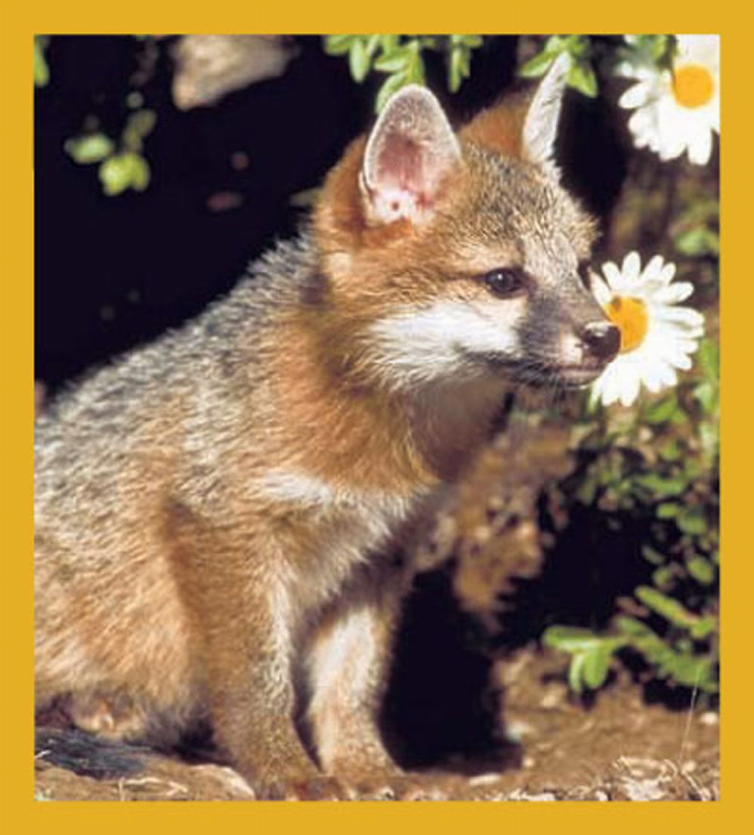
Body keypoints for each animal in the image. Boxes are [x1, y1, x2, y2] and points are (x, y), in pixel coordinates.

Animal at [34, 53, 620, 800]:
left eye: (580, 270)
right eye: (502, 280)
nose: (608, 336)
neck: (382, 445)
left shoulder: (377, 551)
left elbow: (351, 684)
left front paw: (367, 769)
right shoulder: (223, 529)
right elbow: (259, 683)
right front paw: (286, 771)